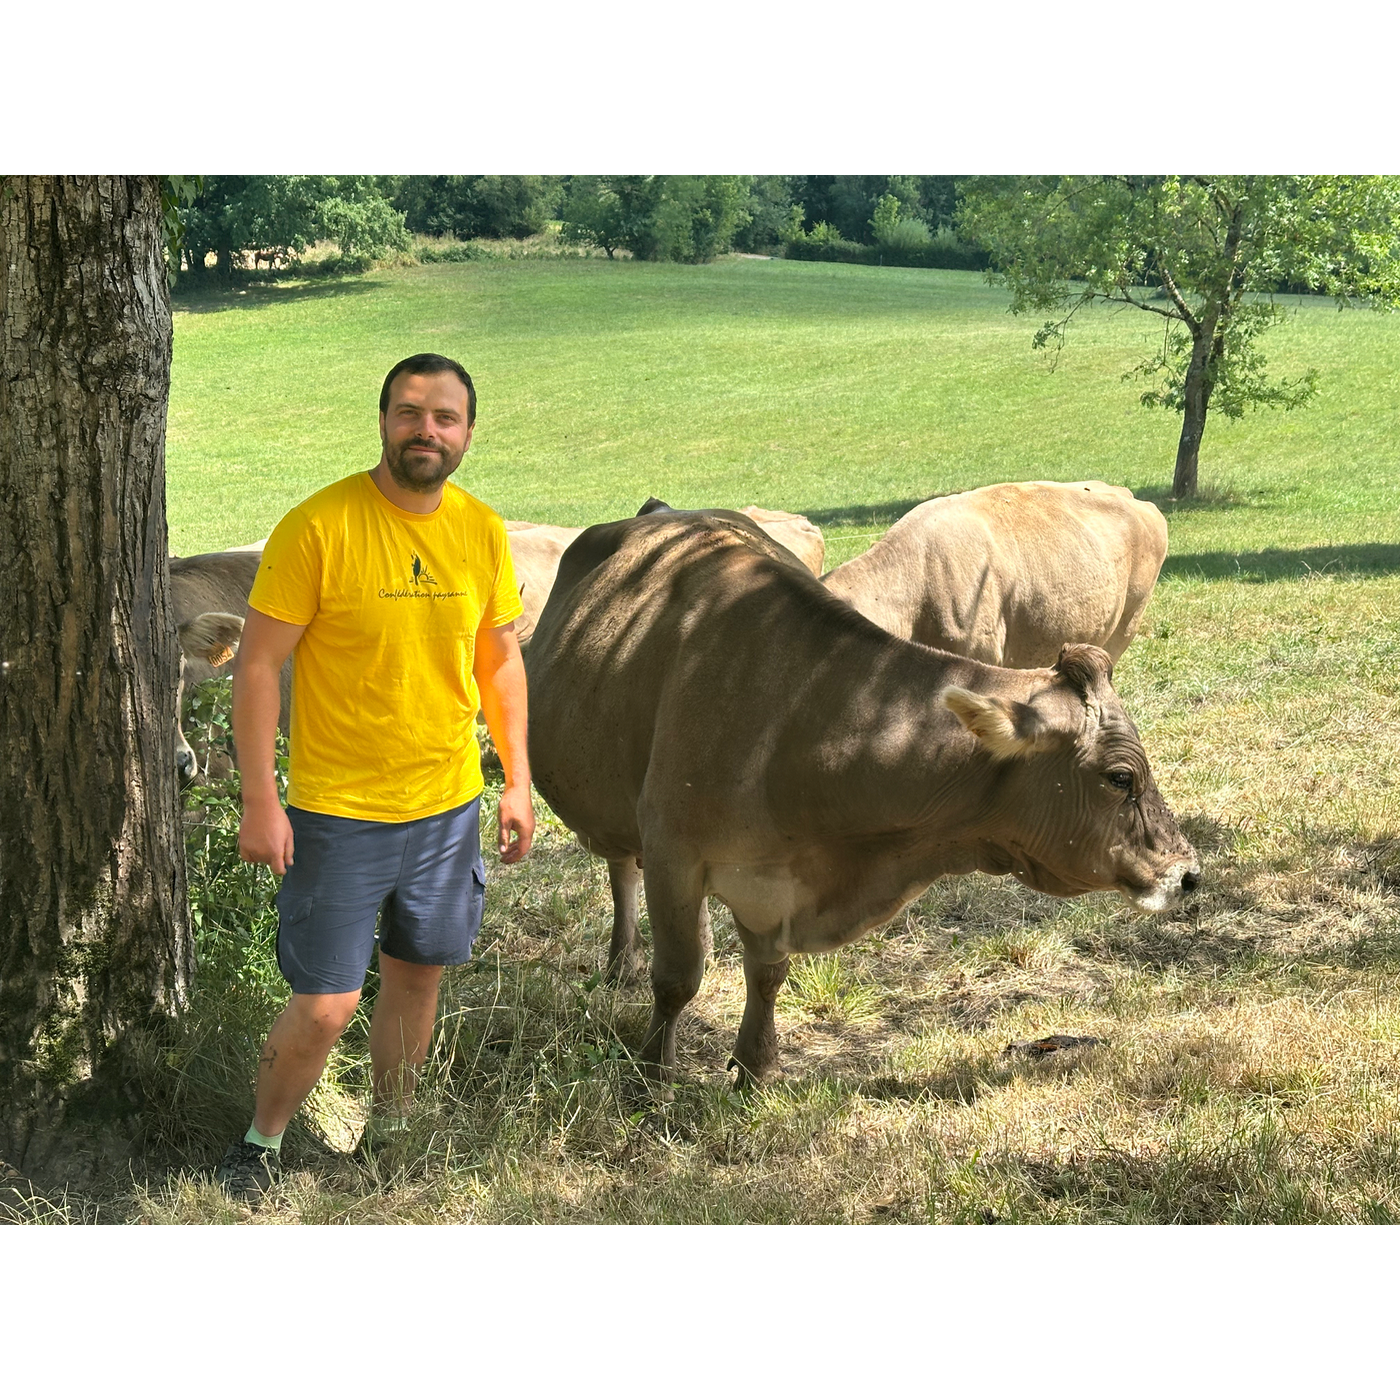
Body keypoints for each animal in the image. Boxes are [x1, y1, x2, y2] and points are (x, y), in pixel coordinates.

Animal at [526, 509, 1199, 1087]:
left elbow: (766, 975)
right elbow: (675, 980)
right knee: (621, 869)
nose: (1189, 874)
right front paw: (652, 1074)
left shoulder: (773, 883)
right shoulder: (674, 853)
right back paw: (623, 961)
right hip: (616, 809)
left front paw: (756, 1068)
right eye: (1120, 777)